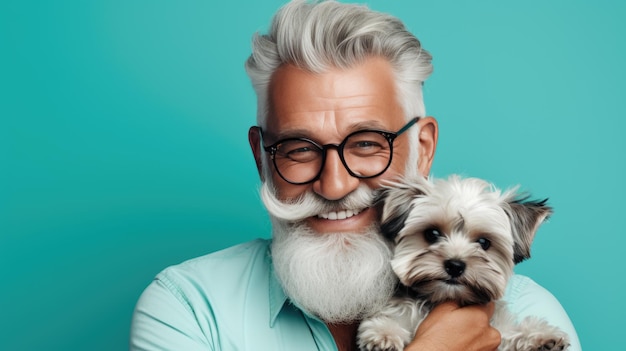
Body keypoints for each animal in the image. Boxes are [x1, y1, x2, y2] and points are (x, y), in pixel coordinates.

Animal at [356, 176, 564, 351]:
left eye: (484, 242)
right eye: (432, 233)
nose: (455, 266)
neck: (440, 298)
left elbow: (507, 332)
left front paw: (538, 336)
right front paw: (385, 333)